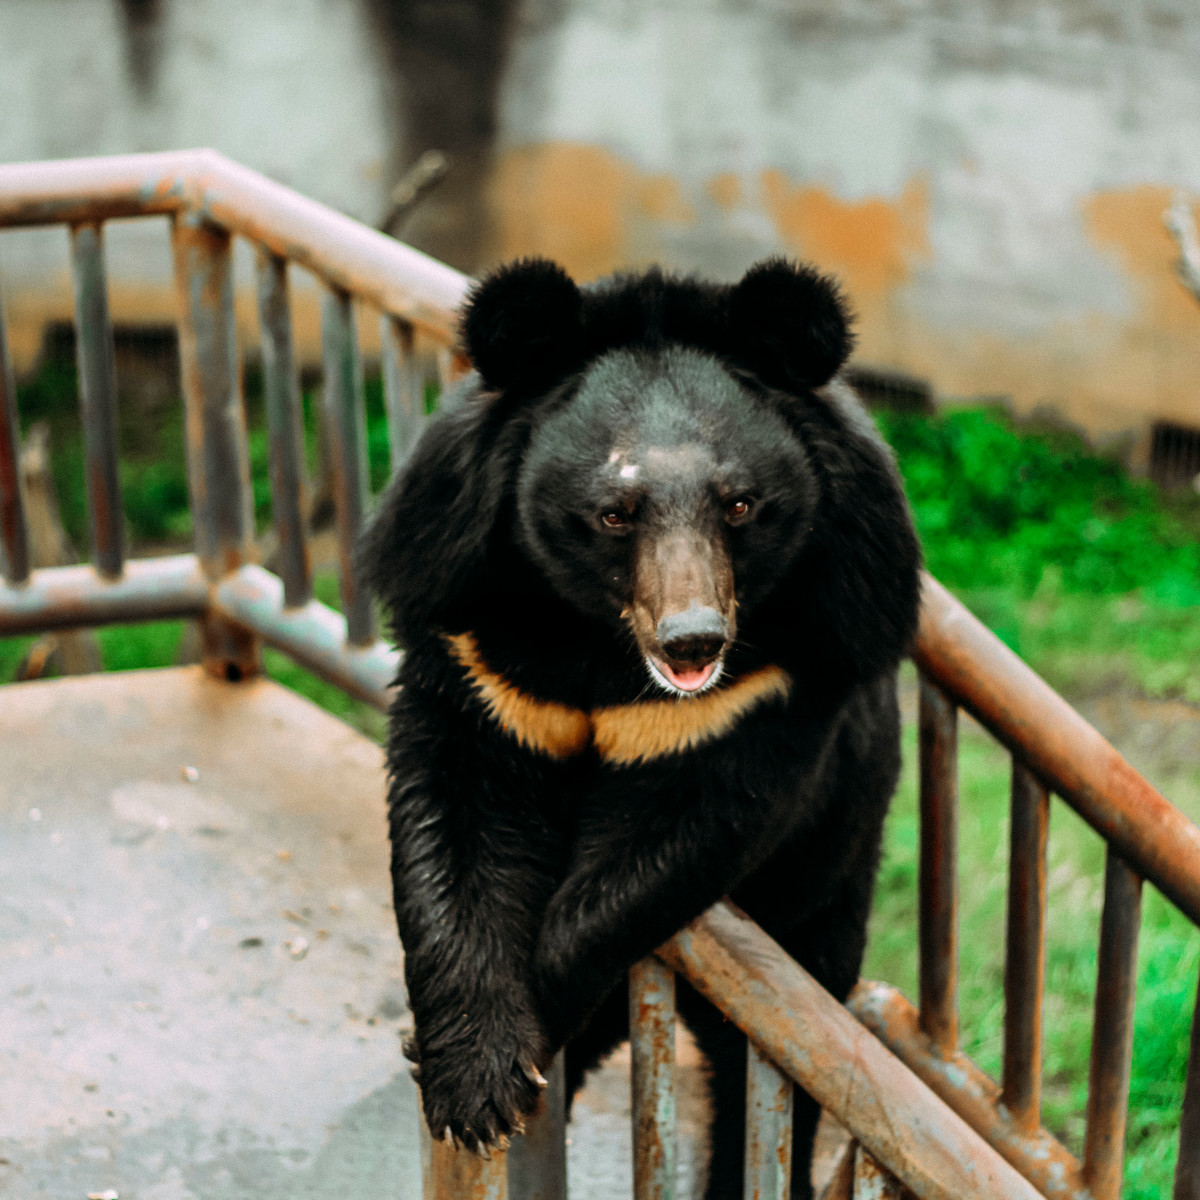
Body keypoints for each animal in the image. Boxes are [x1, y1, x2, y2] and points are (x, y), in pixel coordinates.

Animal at [360, 258, 921, 1195]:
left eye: (741, 504)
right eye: (615, 512)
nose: (694, 640)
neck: (602, 647)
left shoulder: (781, 674)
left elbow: (670, 844)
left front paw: (539, 1024)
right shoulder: (476, 638)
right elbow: (455, 820)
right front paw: (471, 1081)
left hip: (832, 865)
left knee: (769, 1066)